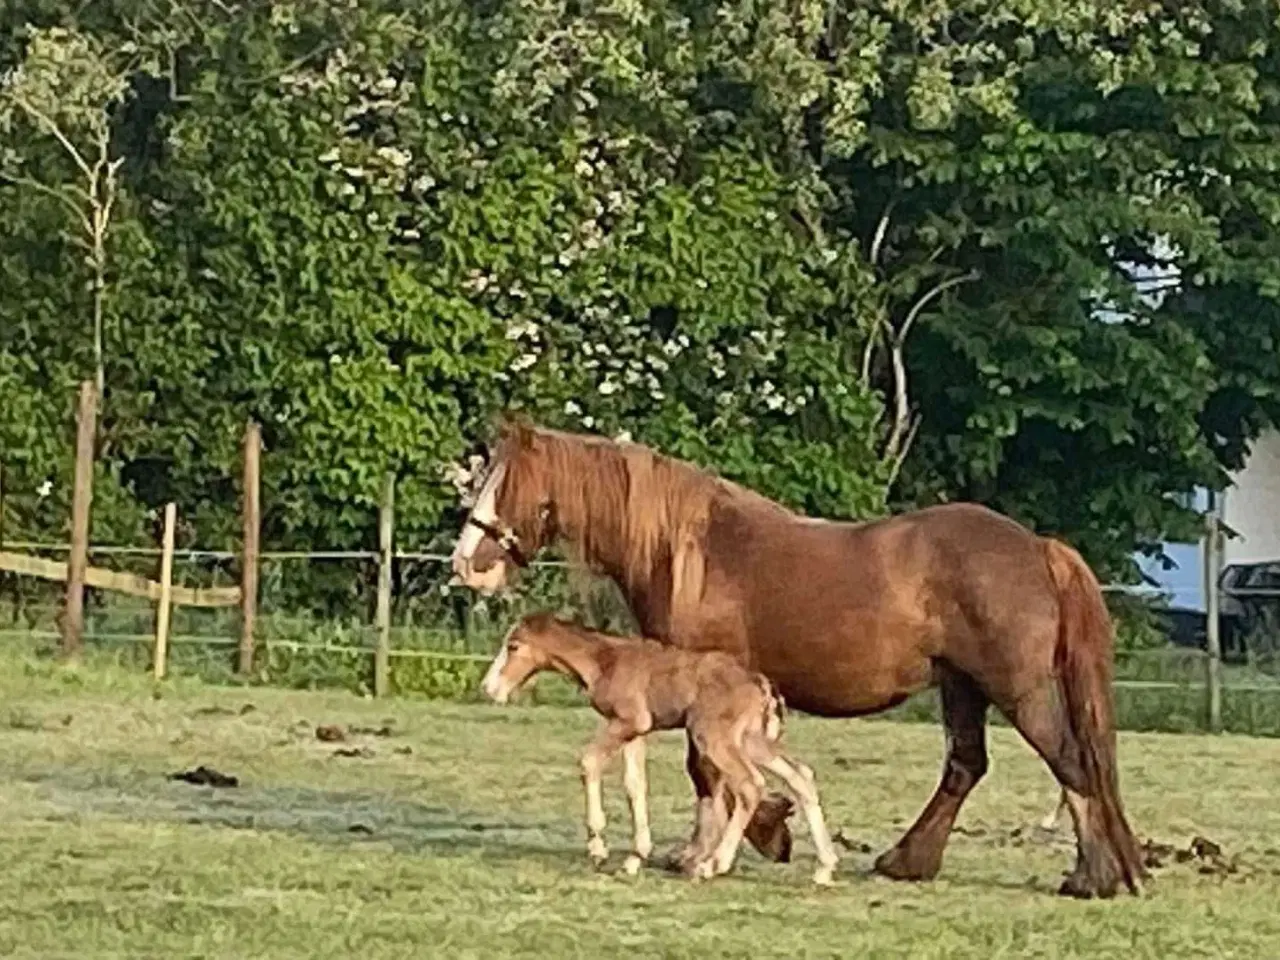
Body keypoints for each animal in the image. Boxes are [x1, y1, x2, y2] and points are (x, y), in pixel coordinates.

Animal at [481, 616, 839, 885]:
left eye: (513, 647)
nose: (488, 688)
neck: (604, 661)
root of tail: (760, 684)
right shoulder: (635, 732)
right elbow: (635, 786)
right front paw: (635, 858)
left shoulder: (626, 722)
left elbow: (588, 761)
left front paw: (598, 849)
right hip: (752, 741)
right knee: (800, 775)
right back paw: (824, 868)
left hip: (713, 738)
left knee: (751, 784)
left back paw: (712, 865)